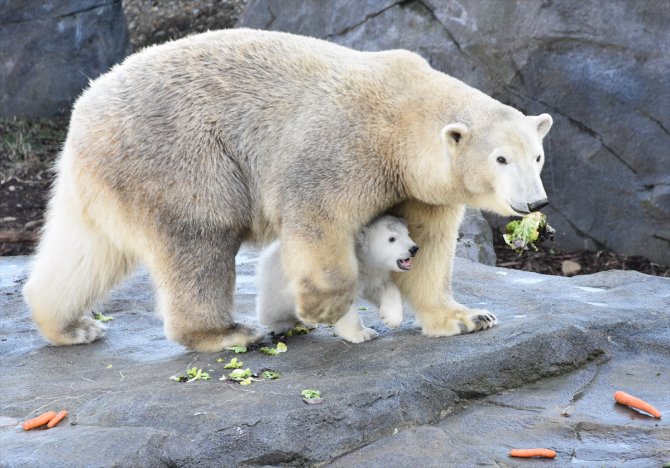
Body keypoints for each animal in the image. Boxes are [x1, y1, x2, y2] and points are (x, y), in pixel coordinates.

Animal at [23, 29, 552, 352]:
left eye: (537, 155)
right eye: (500, 159)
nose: (535, 202)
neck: (402, 117)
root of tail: (84, 110)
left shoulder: (420, 185)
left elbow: (428, 243)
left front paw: (468, 317)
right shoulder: (345, 149)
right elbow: (319, 218)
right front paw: (320, 308)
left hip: (105, 175)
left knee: (86, 250)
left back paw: (71, 325)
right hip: (180, 157)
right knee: (200, 237)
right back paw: (227, 332)